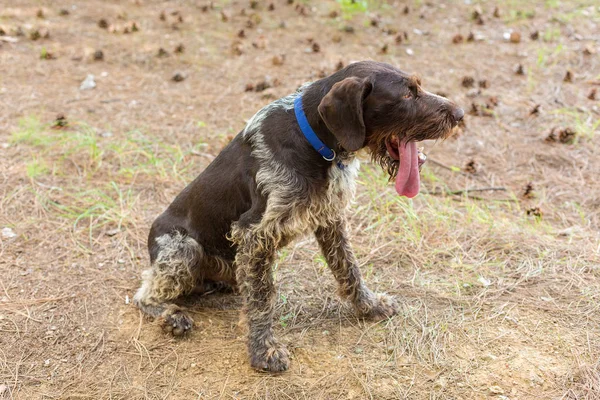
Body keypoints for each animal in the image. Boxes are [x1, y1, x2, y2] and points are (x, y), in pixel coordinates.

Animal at [135, 61, 464, 374]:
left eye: (418, 86)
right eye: (407, 95)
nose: (460, 114)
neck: (316, 142)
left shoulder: (330, 218)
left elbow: (349, 269)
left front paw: (368, 307)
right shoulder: (254, 234)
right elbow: (262, 298)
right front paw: (263, 350)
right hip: (183, 250)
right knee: (144, 295)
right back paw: (171, 316)